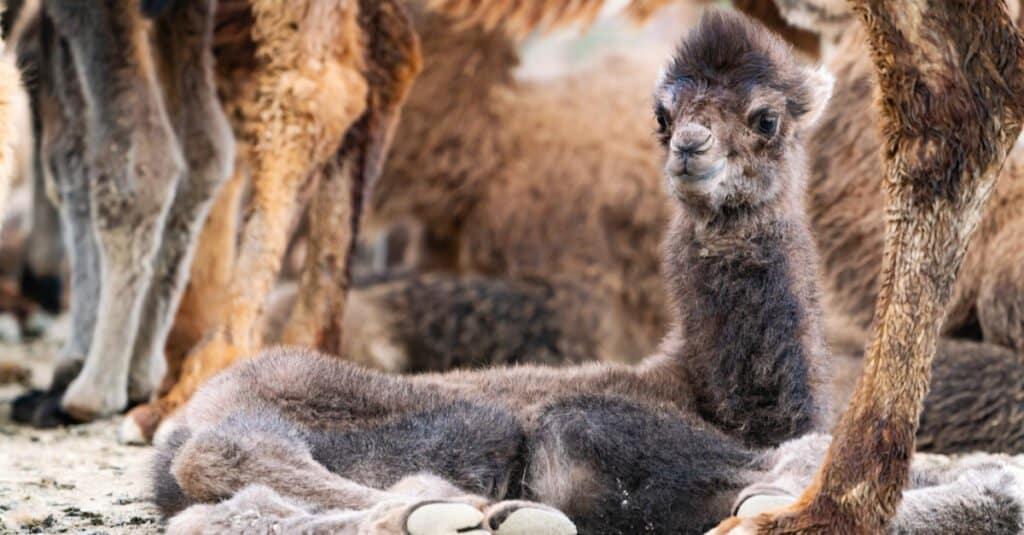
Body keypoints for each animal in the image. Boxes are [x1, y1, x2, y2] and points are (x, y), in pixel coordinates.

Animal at [155, 12, 835, 532]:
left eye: (767, 118)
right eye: (661, 116)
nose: (690, 146)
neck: (708, 393)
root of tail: (191, 409)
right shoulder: (607, 421)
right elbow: (783, 463)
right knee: (229, 453)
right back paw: (455, 509)